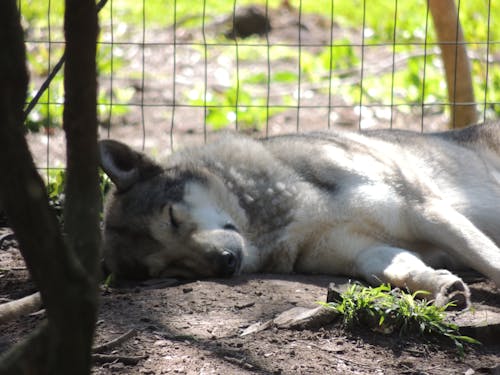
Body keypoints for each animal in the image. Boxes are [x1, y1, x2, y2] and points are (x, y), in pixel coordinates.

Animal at [98, 123, 500, 312]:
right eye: (171, 269)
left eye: (172, 218)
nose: (225, 263)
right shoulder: (366, 252)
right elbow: (405, 271)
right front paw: (442, 287)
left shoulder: (424, 209)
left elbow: (489, 259)